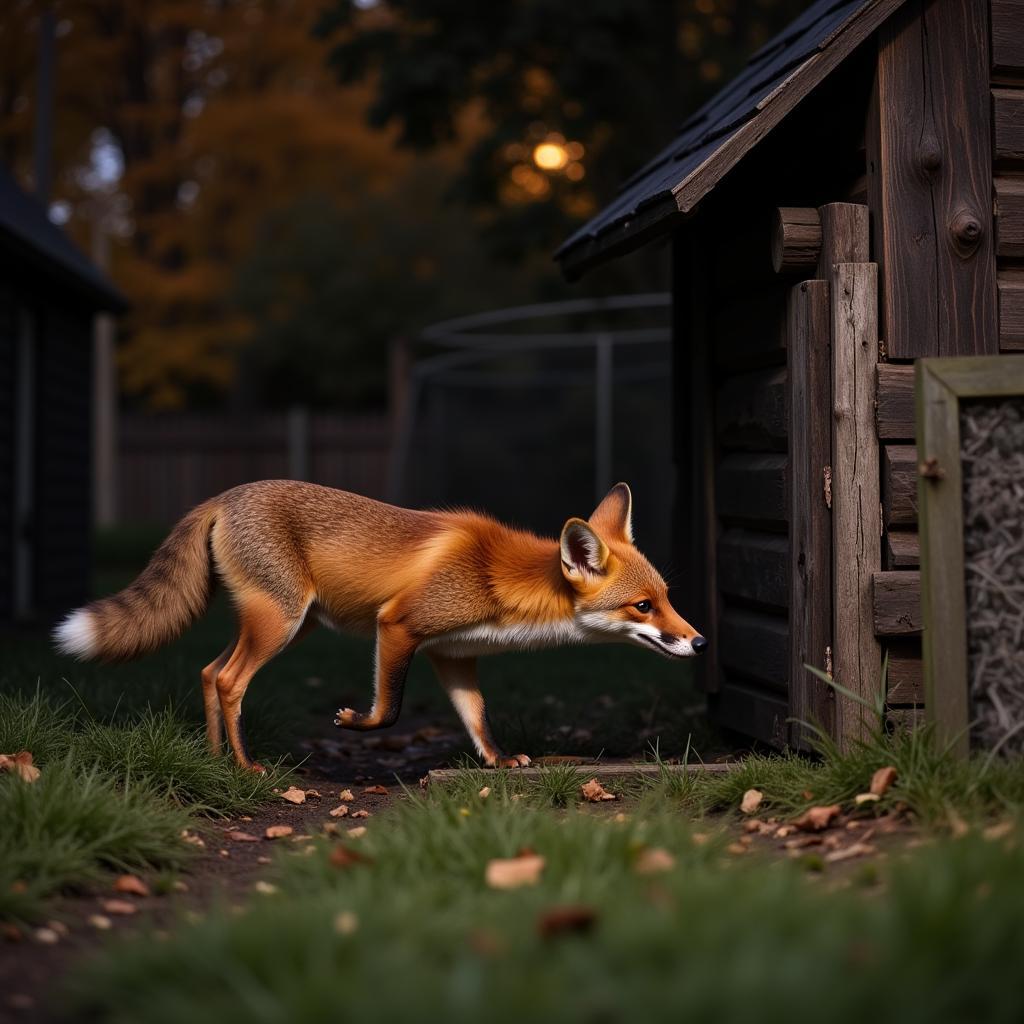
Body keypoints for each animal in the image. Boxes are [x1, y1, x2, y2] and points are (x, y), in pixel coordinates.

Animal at [54, 483, 704, 770]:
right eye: (643, 607)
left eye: (667, 599)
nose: (698, 640)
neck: (501, 581)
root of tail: (225, 494)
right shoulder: (398, 627)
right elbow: (388, 710)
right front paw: (354, 722)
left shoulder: (453, 655)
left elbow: (477, 718)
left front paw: (497, 762)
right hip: (281, 623)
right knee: (230, 681)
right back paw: (244, 767)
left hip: (287, 624)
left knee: (209, 672)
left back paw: (216, 761)